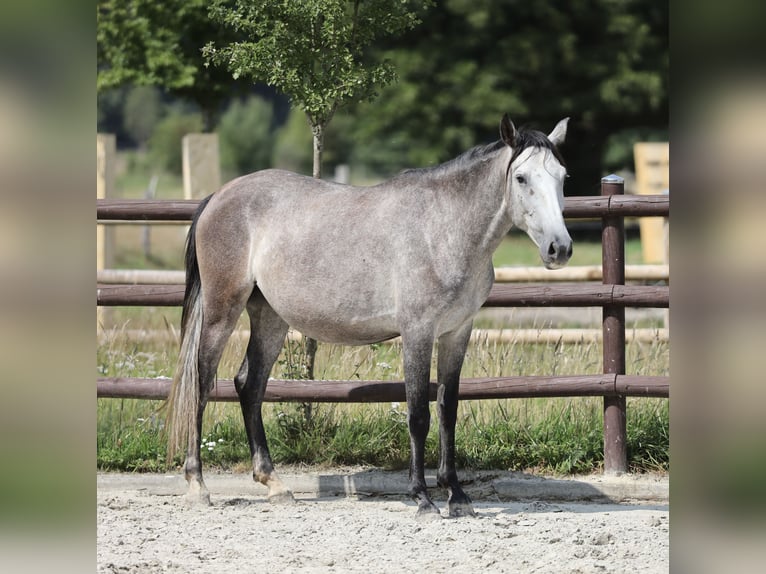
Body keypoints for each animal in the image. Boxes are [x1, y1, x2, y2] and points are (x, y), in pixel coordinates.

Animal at [165, 114, 572, 519]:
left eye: (562, 176)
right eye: (522, 178)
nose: (560, 248)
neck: (442, 230)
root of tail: (219, 196)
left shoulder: (456, 333)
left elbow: (448, 410)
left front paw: (456, 495)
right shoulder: (418, 332)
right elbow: (418, 415)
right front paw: (423, 498)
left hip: (269, 316)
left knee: (249, 385)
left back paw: (274, 484)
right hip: (222, 311)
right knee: (202, 384)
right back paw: (197, 485)